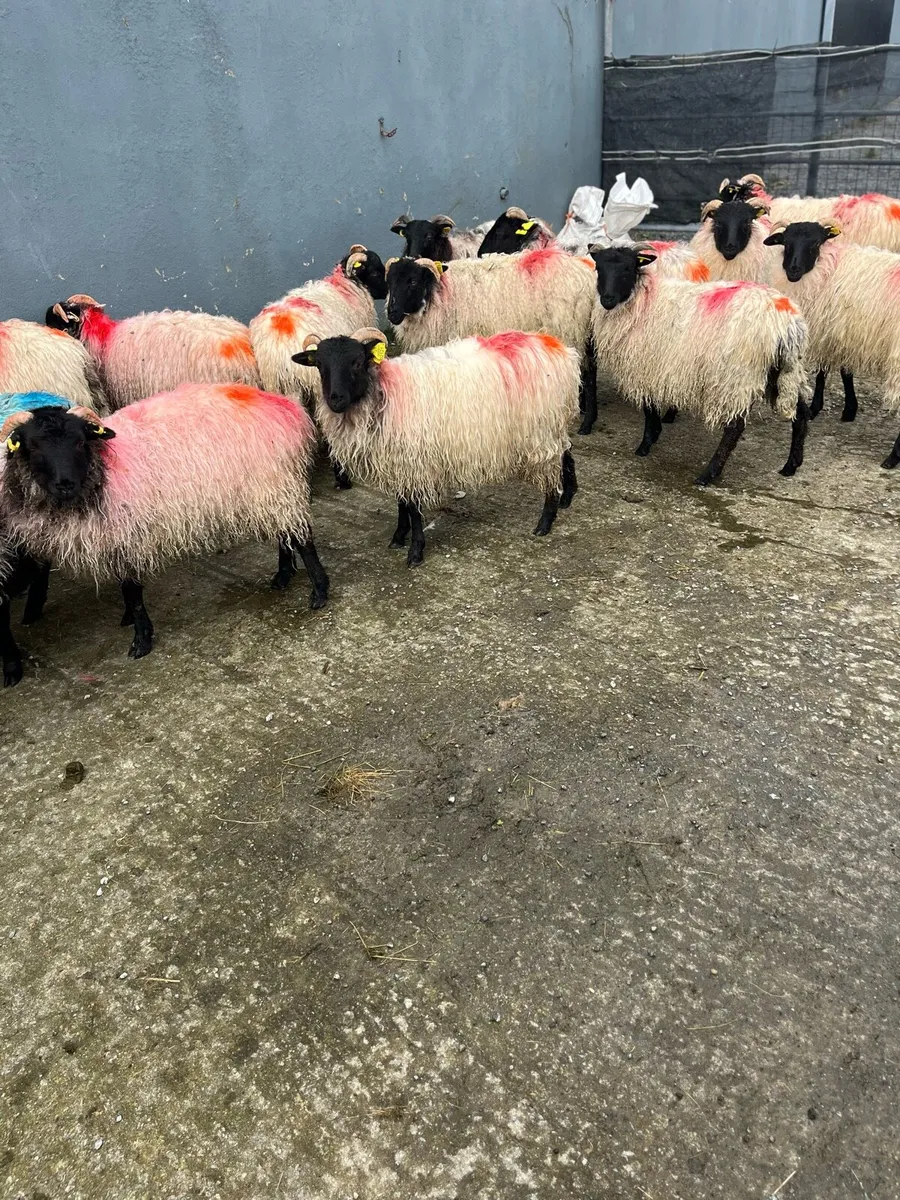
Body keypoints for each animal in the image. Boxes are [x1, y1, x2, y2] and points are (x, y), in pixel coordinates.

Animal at [0, 384, 328, 677]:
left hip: (274, 481)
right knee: (285, 534)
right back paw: (283, 576)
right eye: (32, 446)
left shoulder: (126, 533)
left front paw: (141, 640)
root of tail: (286, 407)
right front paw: (128, 619)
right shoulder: (118, 535)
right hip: (270, 489)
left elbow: (131, 590)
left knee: (302, 537)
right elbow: (126, 586)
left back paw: (319, 591)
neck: (102, 467)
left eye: (80, 442)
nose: (65, 484)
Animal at [291, 327, 580, 567]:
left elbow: (414, 508)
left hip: (541, 428)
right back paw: (568, 495)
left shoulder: (414, 461)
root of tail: (559, 348)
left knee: (553, 468)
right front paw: (399, 536)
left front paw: (415, 552)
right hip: (552, 423)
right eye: (319, 365)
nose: (335, 400)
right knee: (566, 452)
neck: (386, 392)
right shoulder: (399, 459)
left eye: (357, 362)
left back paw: (546, 521)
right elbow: (402, 503)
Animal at [384, 246, 599, 433]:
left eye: (413, 282)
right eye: (390, 282)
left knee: (588, 374)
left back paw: (586, 423)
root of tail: (586, 272)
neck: (439, 294)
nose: (392, 313)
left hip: (572, 330)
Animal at [588, 246, 810, 485]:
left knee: (734, 427)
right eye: (599, 268)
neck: (642, 299)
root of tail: (787, 322)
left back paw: (708, 474)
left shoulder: (645, 365)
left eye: (628, 268)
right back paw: (791, 465)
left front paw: (646, 444)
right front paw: (654, 435)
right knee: (801, 414)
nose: (607, 299)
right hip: (783, 371)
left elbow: (649, 408)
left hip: (738, 375)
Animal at [763, 220, 900, 468]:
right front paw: (849, 409)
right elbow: (844, 371)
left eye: (815, 243)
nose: (793, 271)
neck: (827, 267)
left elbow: (824, 371)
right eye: (786, 242)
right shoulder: (841, 331)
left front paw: (815, 407)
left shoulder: (830, 328)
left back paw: (892, 457)